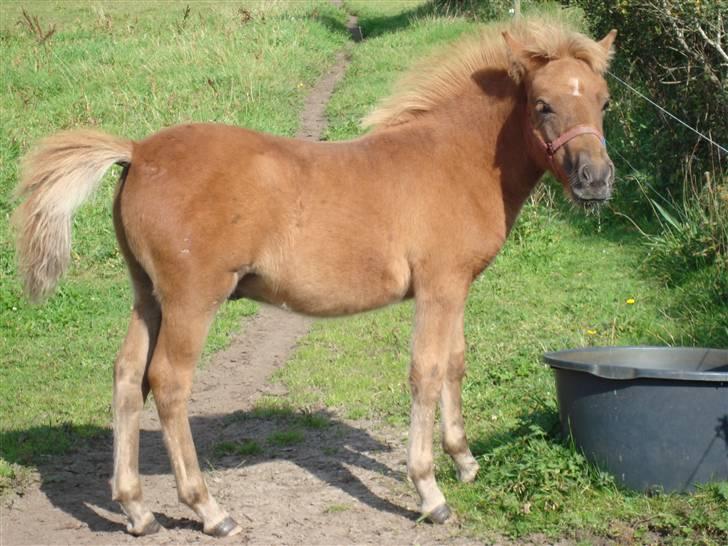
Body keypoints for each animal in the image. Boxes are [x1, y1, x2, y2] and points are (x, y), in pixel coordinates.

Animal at [12, 15, 616, 536]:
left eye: (604, 100)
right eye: (542, 105)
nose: (596, 179)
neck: (453, 160)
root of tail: (137, 151)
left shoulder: (457, 286)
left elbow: (454, 364)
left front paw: (465, 462)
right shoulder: (438, 288)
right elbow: (425, 371)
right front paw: (430, 491)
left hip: (148, 296)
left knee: (126, 376)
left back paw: (137, 508)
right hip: (191, 300)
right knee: (168, 382)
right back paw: (209, 510)